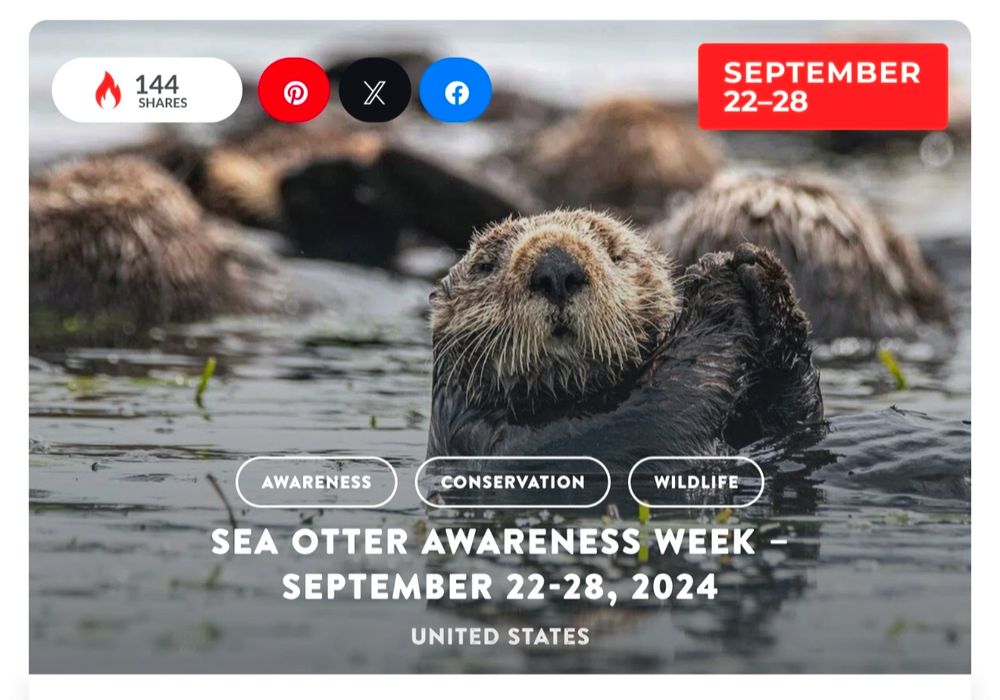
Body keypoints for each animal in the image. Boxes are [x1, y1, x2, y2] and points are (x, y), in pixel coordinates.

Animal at [427, 210, 823, 465]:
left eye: (616, 254)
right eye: (485, 265)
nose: (556, 267)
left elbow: (797, 427)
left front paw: (762, 272)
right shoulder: (506, 445)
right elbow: (655, 413)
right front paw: (713, 282)